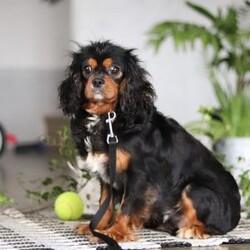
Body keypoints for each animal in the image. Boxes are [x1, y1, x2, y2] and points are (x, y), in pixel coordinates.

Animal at [58, 41, 240, 242]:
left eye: (114, 69)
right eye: (87, 69)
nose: (97, 81)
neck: (108, 118)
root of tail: (237, 214)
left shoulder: (138, 175)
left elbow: (126, 206)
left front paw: (115, 232)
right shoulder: (106, 174)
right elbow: (105, 203)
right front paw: (97, 228)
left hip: (195, 189)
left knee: (215, 228)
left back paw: (193, 230)